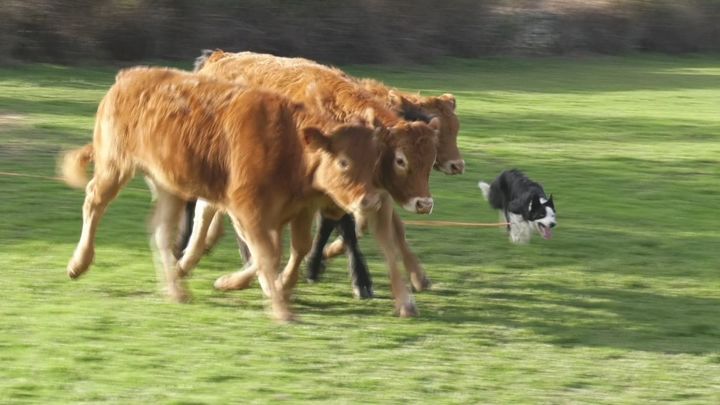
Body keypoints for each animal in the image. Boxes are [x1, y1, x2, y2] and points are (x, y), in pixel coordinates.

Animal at [60, 67, 382, 322]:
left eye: (374, 161)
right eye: (344, 162)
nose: (369, 200)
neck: (289, 143)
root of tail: (129, 76)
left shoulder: (299, 210)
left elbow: (295, 249)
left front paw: (259, 286)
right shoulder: (246, 209)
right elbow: (267, 254)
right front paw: (280, 307)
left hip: (168, 186)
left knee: (161, 232)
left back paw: (176, 290)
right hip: (114, 166)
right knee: (94, 202)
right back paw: (78, 264)